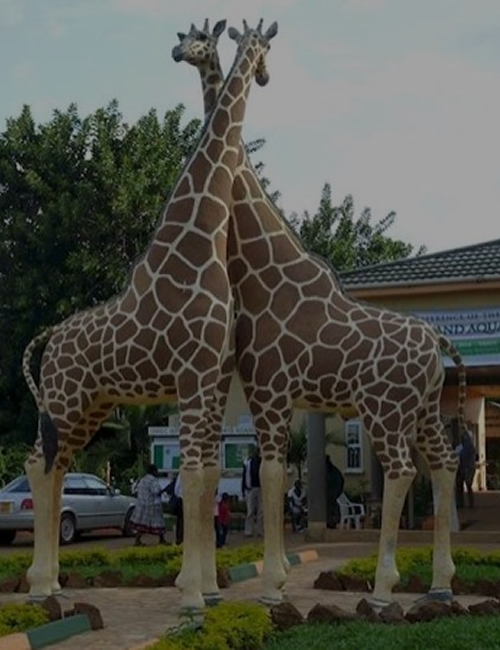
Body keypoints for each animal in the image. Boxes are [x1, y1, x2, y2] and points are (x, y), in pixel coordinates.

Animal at [21, 18, 278, 612]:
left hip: (86, 408)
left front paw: (206, 589)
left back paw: (52, 583)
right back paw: (40, 585)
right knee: (39, 467)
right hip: (66, 402)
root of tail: (50, 340)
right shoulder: (193, 376)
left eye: (263, 48)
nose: (265, 74)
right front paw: (191, 593)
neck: (202, 241)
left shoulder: (212, 378)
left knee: (53, 468)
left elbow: (206, 475)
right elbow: (192, 476)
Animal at [174, 20, 466, 608]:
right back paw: (439, 585)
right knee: (444, 466)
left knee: (402, 472)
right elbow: (274, 477)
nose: (178, 52)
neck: (259, 272)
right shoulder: (269, 393)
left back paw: (384, 588)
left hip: (385, 411)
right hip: (423, 409)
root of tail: (436, 344)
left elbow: (271, 475)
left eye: (264, 48)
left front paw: (271, 587)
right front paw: (264, 581)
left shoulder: (269, 392)